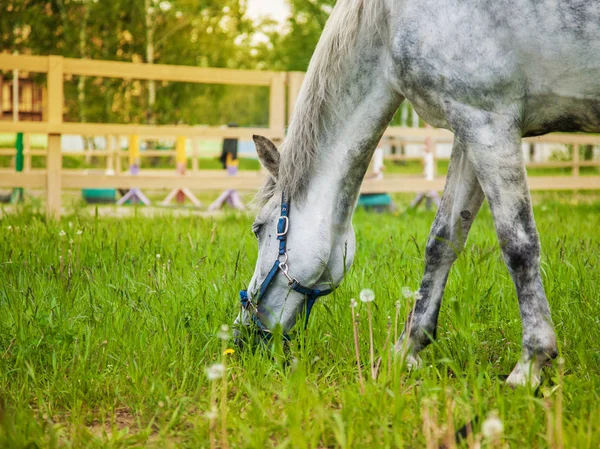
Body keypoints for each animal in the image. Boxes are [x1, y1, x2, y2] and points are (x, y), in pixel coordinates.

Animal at [237, 0, 596, 384]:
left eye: (258, 228)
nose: (242, 332)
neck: (389, 20)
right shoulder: (469, 129)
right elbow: (442, 242)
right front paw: (406, 349)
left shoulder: (488, 121)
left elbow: (519, 246)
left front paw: (530, 363)